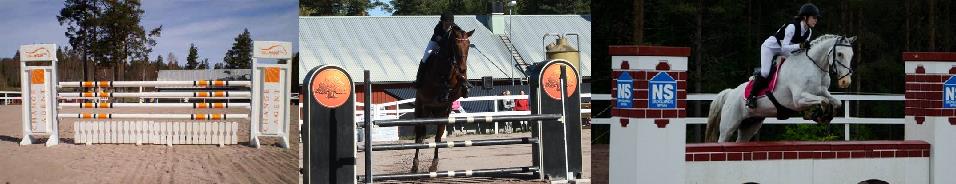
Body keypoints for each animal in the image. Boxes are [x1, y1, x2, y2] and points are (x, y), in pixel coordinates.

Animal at [410, 26, 474, 172]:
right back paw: (415, 166)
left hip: (442, 113)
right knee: (418, 137)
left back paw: (434, 165)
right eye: (456, 45)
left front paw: (464, 84)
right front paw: (445, 88)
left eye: (468, 45)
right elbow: (442, 83)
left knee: (437, 138)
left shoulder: (455, 92)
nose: (463, 68)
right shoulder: (434, 82)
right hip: (421, 110)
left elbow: (459, 85)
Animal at [704, 34, 856, 142]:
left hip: (750, 125)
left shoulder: (822, 91)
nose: (845, 82)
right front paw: (816, 115)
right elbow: (824, 101)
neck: (813, 66)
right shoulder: (799, 99)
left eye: (851, 55)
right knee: (723, 138)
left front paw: (825, 116)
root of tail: (730, 93)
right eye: (840, 54)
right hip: (729, 125)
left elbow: (835, 101)